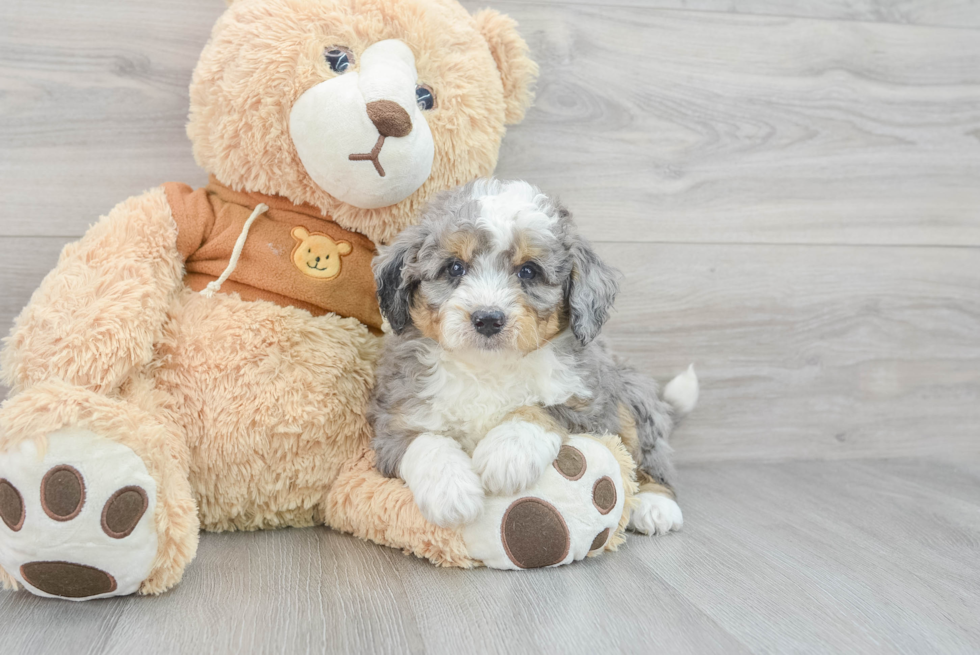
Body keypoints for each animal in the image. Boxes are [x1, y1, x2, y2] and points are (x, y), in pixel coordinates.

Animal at [368, 178, 696, 540]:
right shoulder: (395, 417)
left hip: (631, 392)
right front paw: (452, 492)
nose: (488, 319)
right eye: (454, 267)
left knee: (651, 452)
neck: (488, 369)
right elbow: (424, 441)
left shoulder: (592, 405)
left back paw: (656, 504)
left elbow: (541, 409)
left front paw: (507, 453)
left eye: (528, 271)